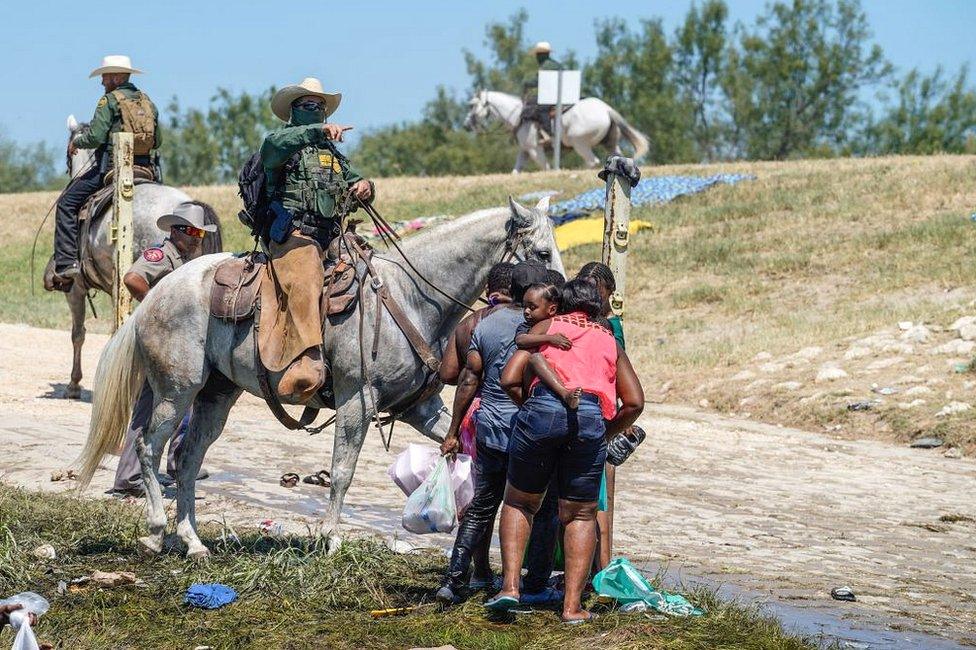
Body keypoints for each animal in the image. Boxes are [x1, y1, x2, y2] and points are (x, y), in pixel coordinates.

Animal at [76, 195, 560, 556]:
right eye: (541, 252)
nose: (557, 300)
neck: (409, 297)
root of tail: (158, 292)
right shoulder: (357, 401)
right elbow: (342, 471)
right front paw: (331, 539)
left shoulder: (421, 408)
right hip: (176, 391)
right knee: (149, 446)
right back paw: (158, 530)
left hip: (216, 395)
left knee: (189, 458)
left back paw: (193, 541)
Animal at [464, 90, 648, 175]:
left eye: (472, 105)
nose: (466, 125)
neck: (519, 116)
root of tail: (607, 109)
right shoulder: (525, 151)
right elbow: (515, 171)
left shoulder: (535, 150)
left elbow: (545, 168)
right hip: (610, 143)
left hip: (579, 144)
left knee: (592, 161)